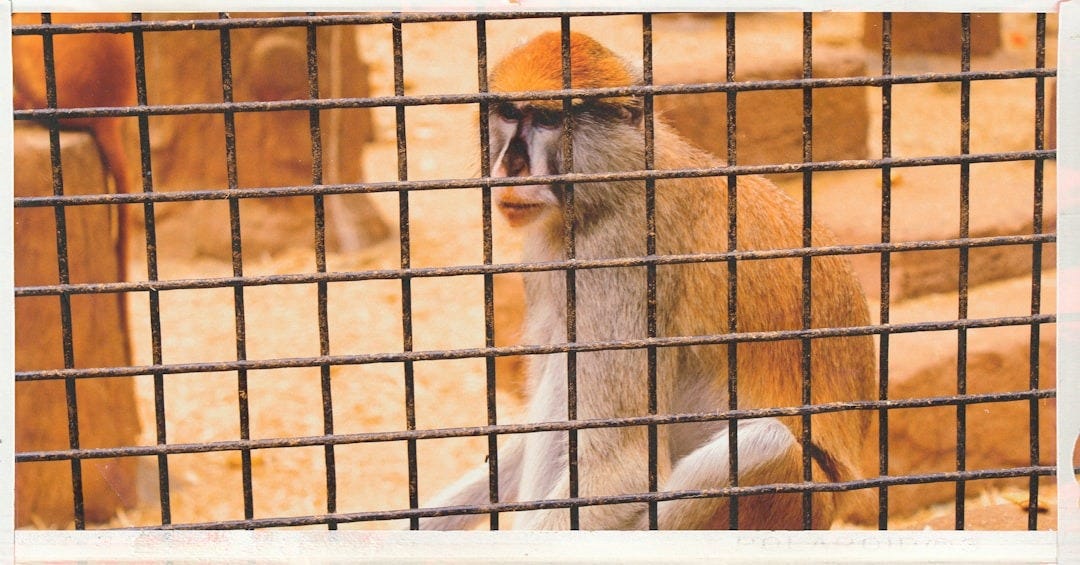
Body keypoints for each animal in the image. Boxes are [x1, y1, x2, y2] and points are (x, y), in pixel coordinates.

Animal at [419, 31, 875, 530]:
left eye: (547, 119)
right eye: (508, 114)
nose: (511, 166)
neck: (613, 182)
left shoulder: (623, 255)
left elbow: (623, 468)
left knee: (765, 444)